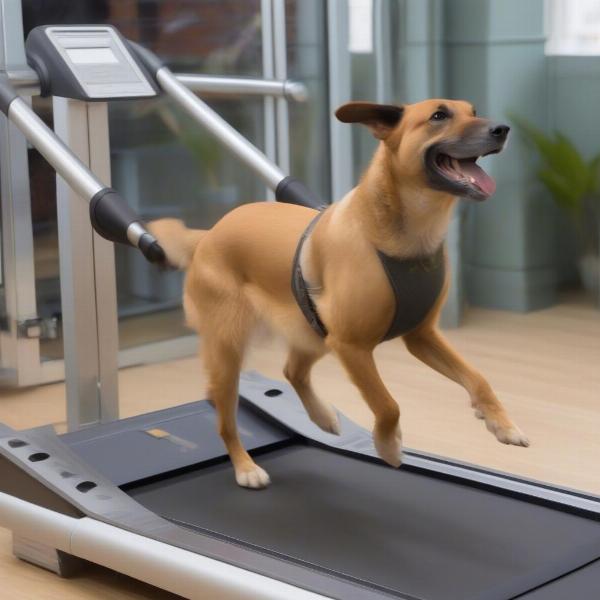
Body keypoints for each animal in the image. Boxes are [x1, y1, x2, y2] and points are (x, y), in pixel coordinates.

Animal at [150, 99, 528, 492]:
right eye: (439, 116)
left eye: (473, 111)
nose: (502, 129)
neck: (407, 237)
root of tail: (208, 235)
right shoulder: (352, 347)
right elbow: (387, 404)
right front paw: (387, 444)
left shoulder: (421, 336)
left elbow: (478, 377)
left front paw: (500, 422)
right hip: (232, 350)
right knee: (224, 415)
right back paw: (245, 466)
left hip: (313, 332)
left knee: (292, 371)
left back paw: (322, 417)